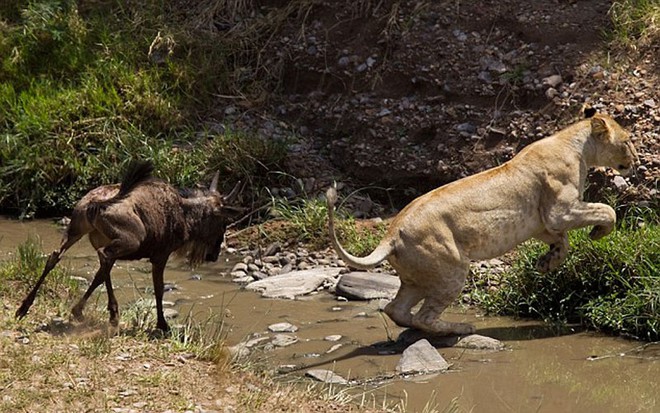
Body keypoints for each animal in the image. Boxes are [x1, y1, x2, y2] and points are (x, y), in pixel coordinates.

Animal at [16, 159, 242, 330]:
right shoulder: (160, 255)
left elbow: (102, 276)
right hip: (131, 240)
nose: (213, 255)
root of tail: (95, 205)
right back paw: (95, 312)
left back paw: (24, 308)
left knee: (57, 256)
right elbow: (158, 289)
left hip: (77, 230)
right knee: (102, 258)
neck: (186, 216)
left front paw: (96, 312)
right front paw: (162, 325)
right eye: (224, 222)